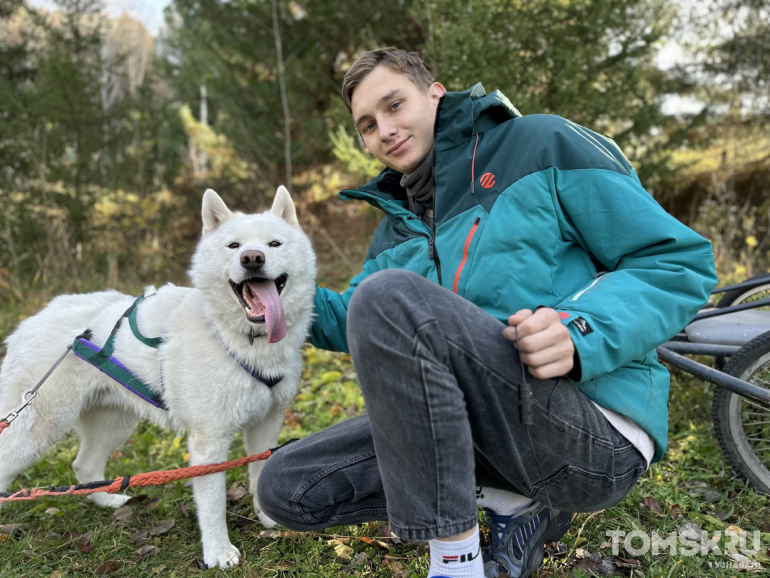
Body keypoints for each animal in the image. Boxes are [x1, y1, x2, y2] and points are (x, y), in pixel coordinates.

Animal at [0, 186, 316, 568]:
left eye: (274, 244)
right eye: (234, 246)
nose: (252, 259)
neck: (236, 339)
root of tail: (36, 316)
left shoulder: (266, 426)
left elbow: (259, 477)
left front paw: (269, 520)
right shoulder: (209, 443)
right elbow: (213, 506)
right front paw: (218, 553)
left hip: (113, 423)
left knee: (84, 466)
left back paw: (109, 502)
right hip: (35, 431)